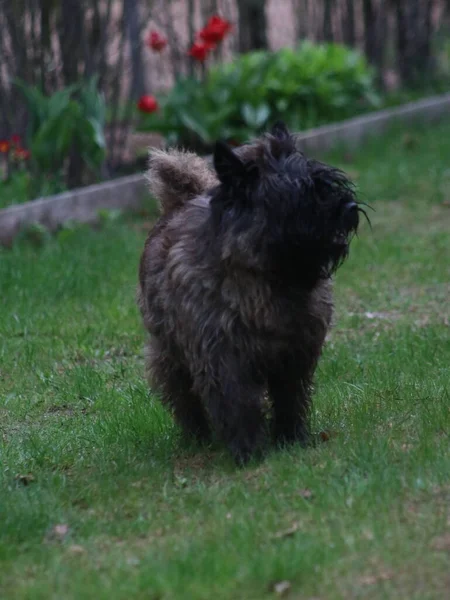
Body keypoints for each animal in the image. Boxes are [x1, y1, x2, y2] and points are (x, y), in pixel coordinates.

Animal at [137, 122, 362, 464]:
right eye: (300, 195)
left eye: (327, 183)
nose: (349, 207)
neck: (269, 278)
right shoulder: (224, 359)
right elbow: (238, 405)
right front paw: (248, 451)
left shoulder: (296, 354)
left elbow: (290, 398)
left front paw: (291, 438)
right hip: (169, 354)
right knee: (184, 398)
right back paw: (197, 437)